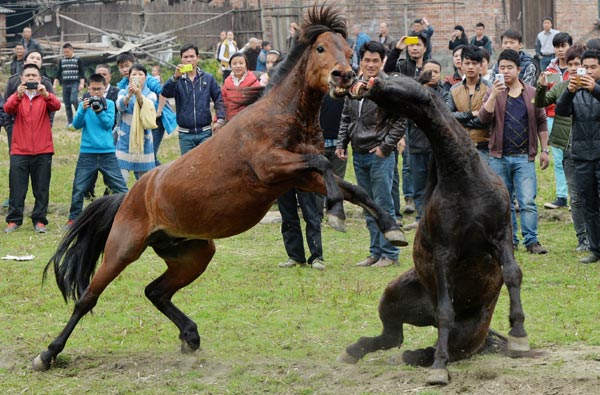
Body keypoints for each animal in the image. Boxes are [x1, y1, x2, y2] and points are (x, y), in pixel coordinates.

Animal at [32, 4, 408, 372]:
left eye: (347, 49)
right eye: (320, 48)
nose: (344, 77)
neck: (283, 115)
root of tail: (130, 195)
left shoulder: (297, 176)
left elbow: (353, 187)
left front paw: (391, 228)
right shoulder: (272, 168)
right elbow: (326, 166)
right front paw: (335, 211)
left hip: (193, 254)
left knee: (155, 291)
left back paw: (190, 336)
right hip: (123, 249)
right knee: (87, 298)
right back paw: (47, 354)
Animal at [338, 72, 528, 386]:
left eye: (396, 75)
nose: (363, 80)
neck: (466, 180)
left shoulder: (500, 236)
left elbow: (513, 274)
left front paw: (519, 335)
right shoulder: (445, 251)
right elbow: (445, 313)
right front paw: (440, 370)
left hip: (470, 332)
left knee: (431, 343)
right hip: (394, 297)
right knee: (397, 336)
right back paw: (359, 352)